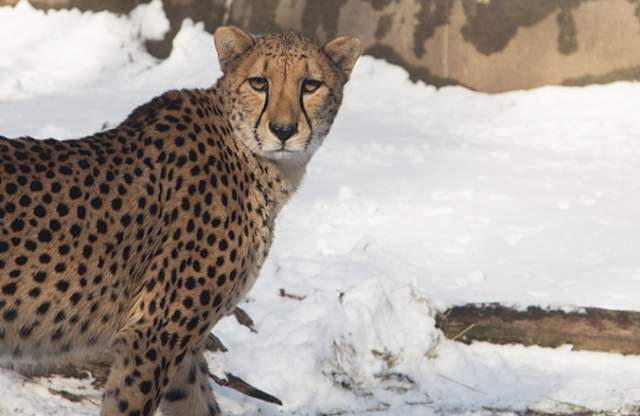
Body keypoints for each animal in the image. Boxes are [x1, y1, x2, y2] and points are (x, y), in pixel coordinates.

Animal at [0, 26, 361, 416]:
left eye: (310, 85)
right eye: (259, 82)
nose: (283, 129)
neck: (253, 161)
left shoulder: (177, 345)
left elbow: (198, 402)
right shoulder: (151, 334)